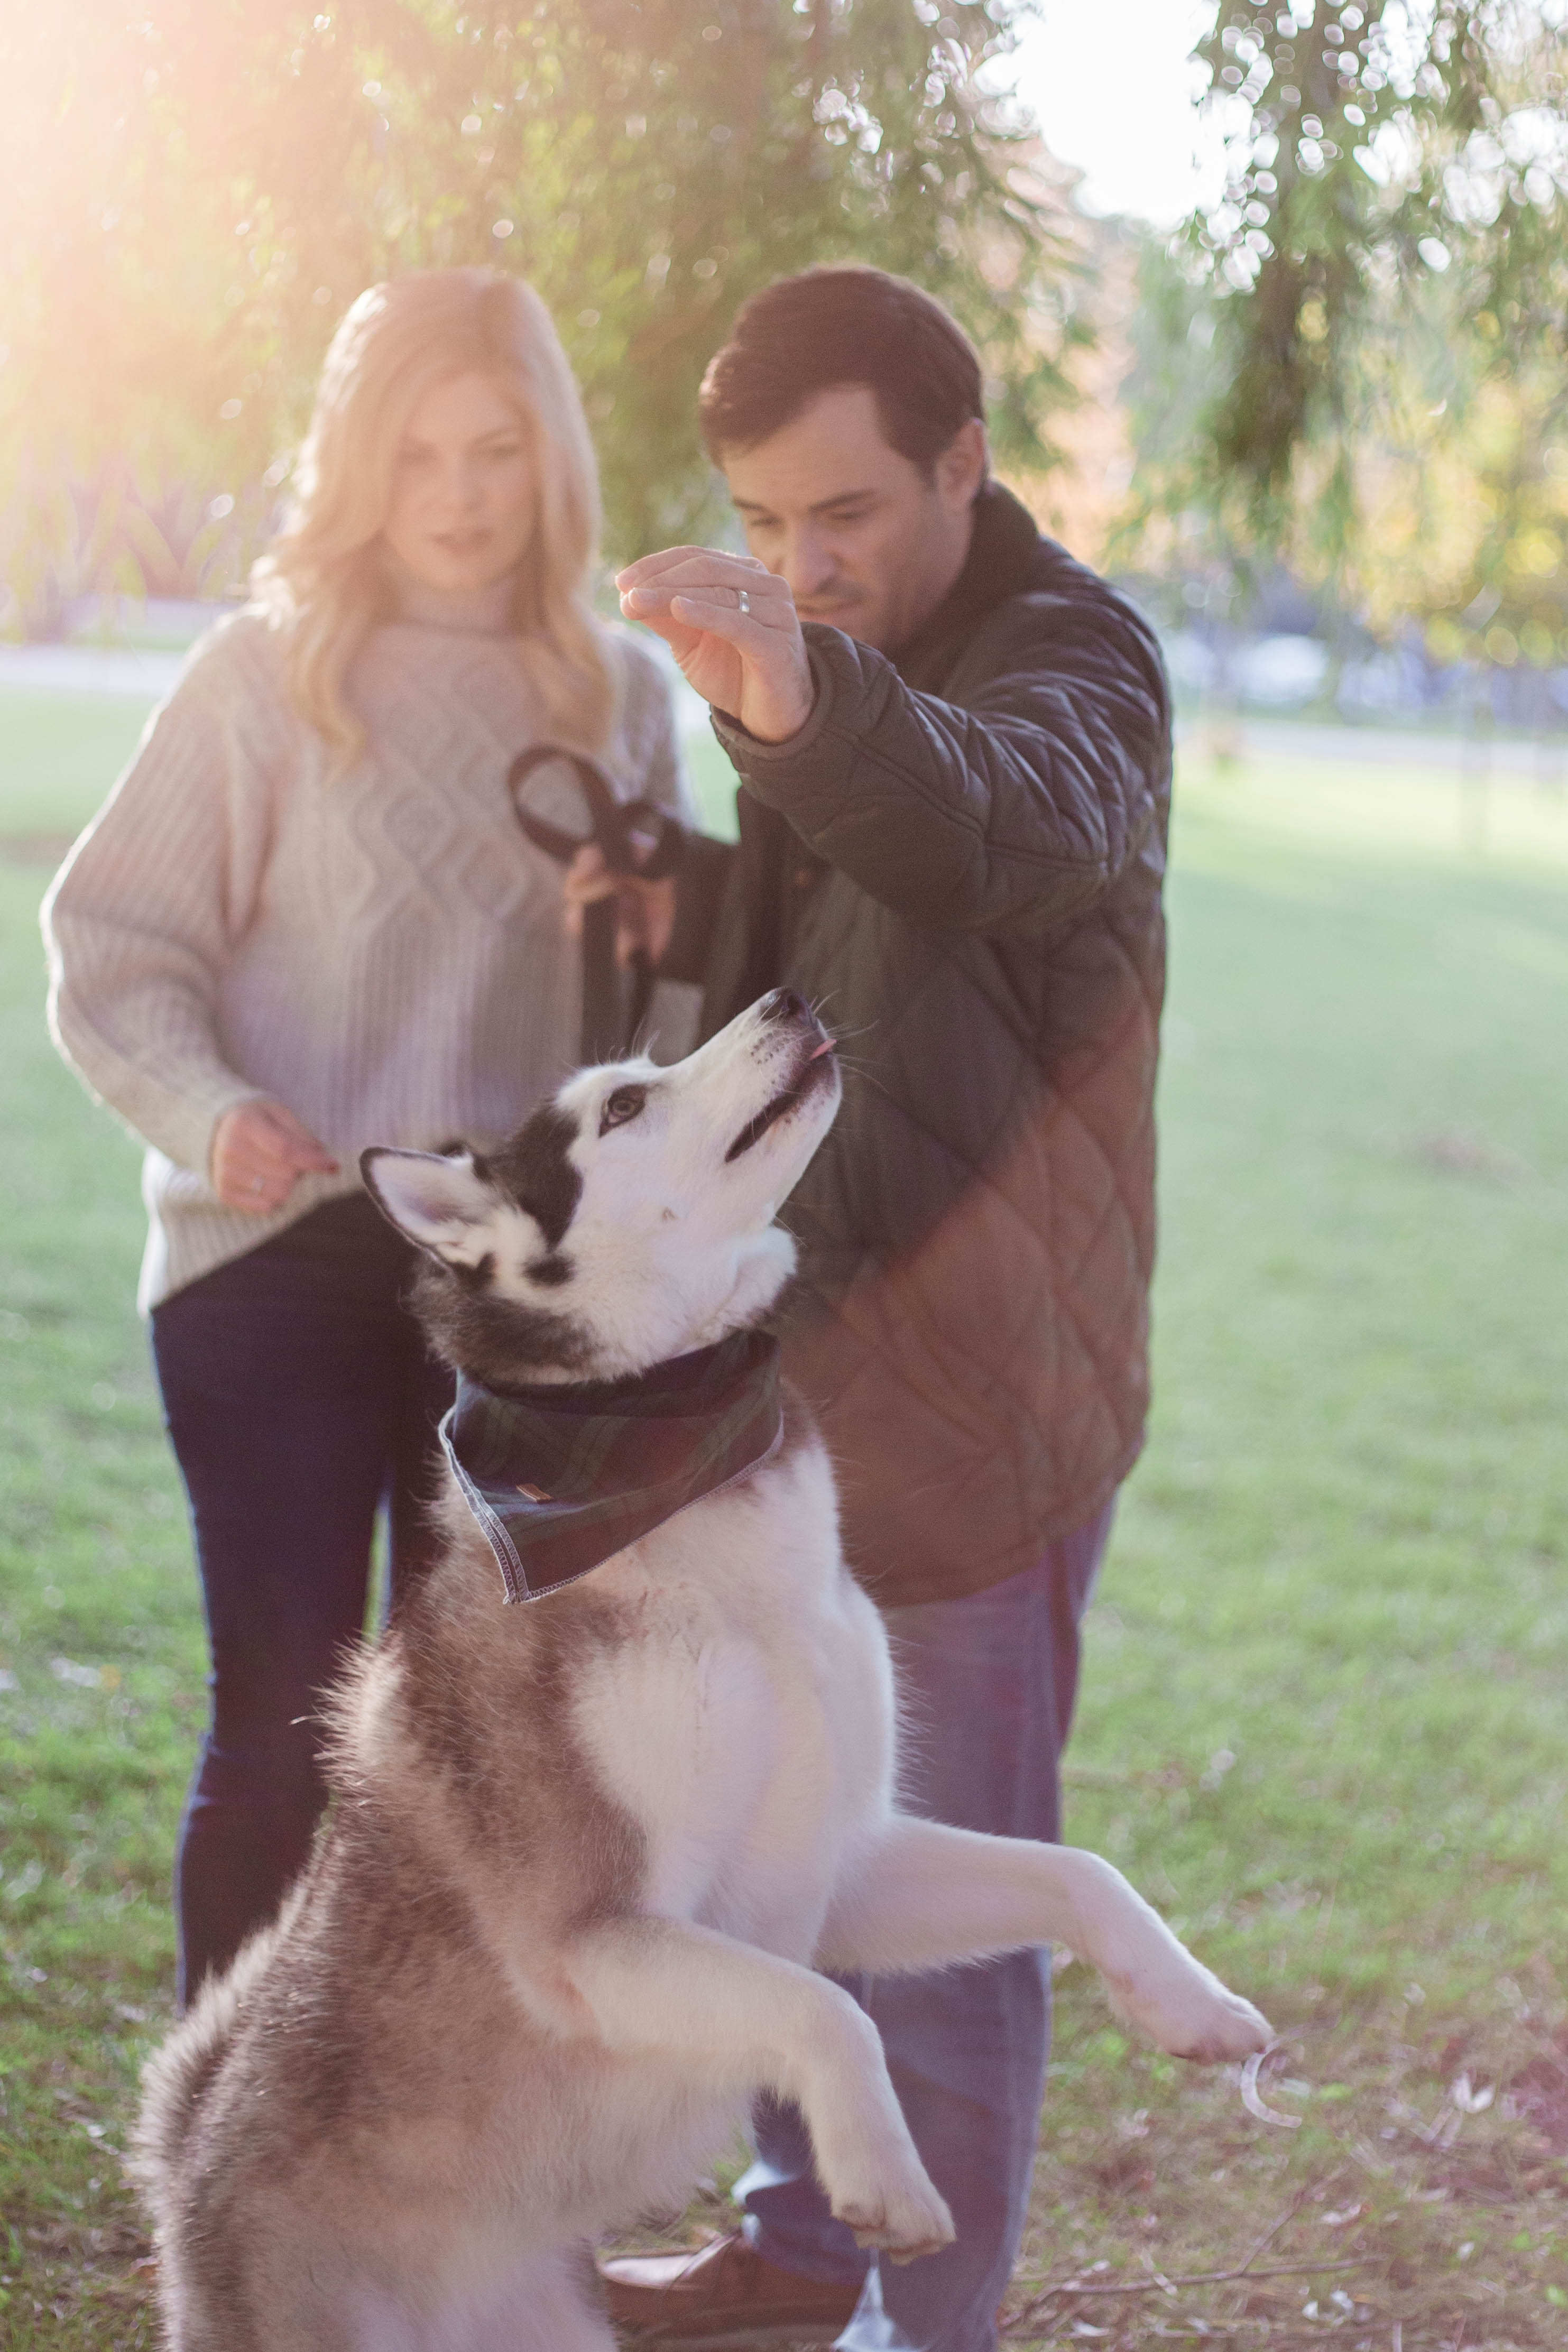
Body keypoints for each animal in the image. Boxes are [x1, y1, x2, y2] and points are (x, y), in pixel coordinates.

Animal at [132, 983, 1260, 2342]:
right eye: (625, 1105)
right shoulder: (596, 1935)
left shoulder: (844, 1861)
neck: (686, 1479)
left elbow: (1075, 1869)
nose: (786, 996)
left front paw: (1188, 2002)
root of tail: (190, 2160)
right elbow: (824, 2008)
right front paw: (881, 2170)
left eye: (639, 1073)